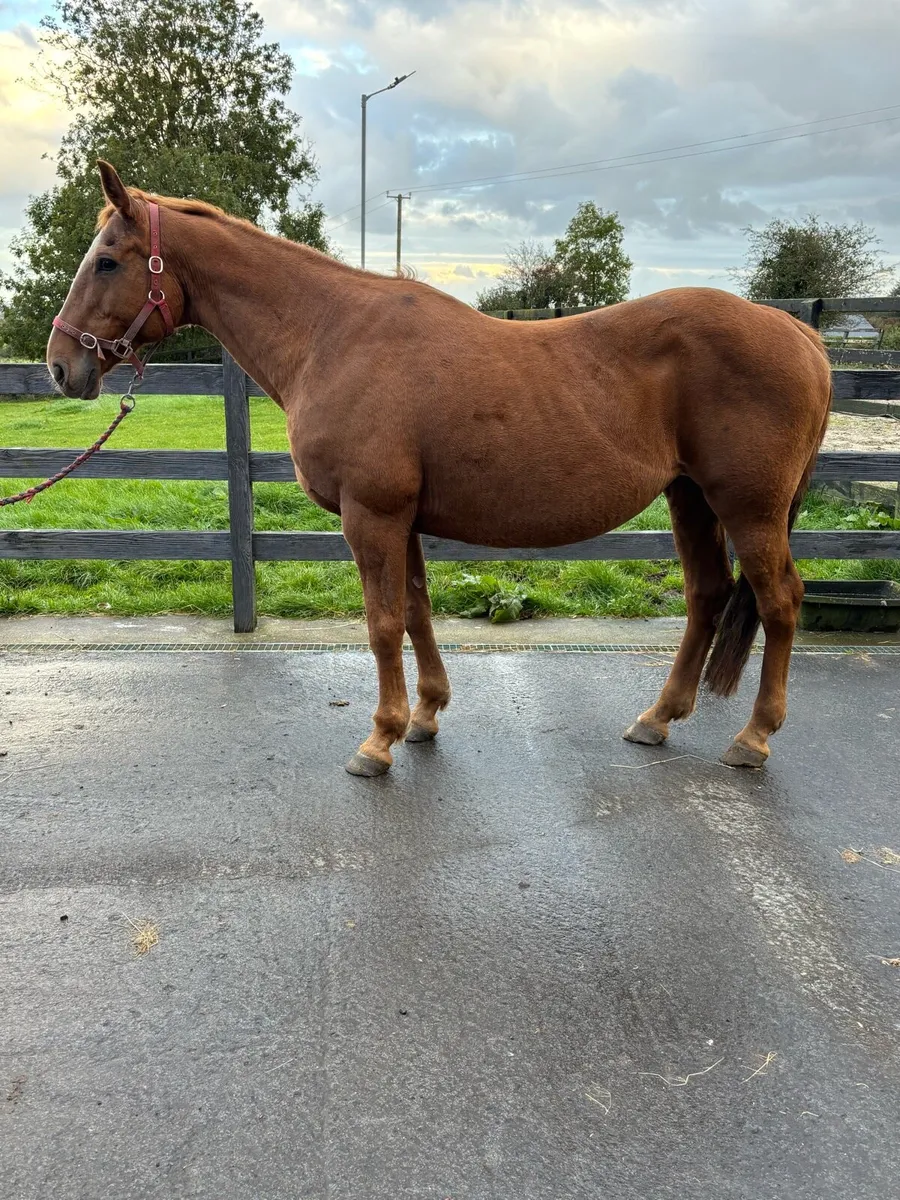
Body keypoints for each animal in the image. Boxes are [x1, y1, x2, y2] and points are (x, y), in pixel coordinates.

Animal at [48, 162, 832, 777]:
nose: (61, 366)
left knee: (780, 601)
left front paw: (380, 739)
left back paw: (753, 737)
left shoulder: (373, 515)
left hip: (749, 508)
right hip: (689, 496)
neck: (331, 334)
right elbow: (418, 611)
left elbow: (382, 623)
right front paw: (425, 716)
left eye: (108, 260)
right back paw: (657, 718)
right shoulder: (405, 520)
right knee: (706, 595)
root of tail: (797, 331)